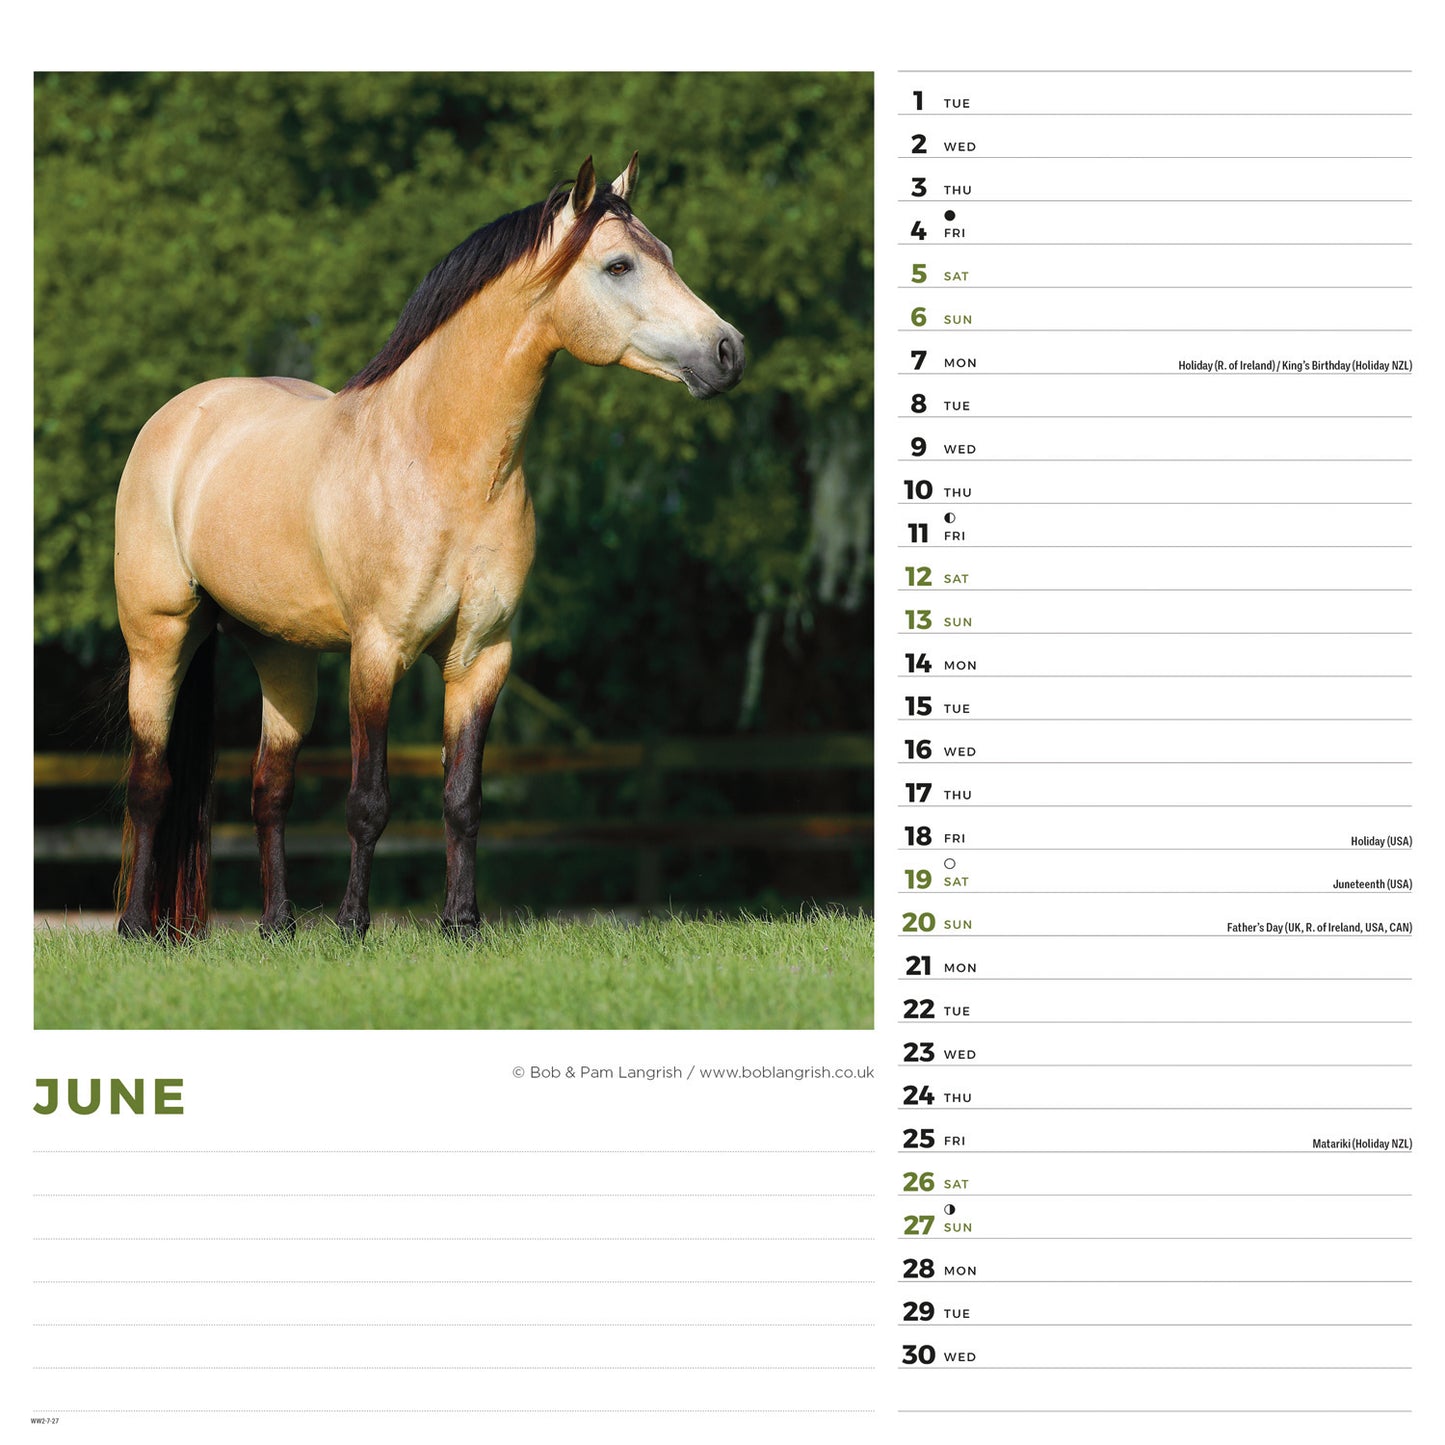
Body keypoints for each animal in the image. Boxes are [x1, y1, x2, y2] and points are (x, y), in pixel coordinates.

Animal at [113, 154, 745, 941]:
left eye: (667, 255)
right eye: (619, 265)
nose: (728, 351)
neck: (440, 462)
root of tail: (179, 418)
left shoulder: (480, 657)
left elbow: (461, 797)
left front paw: (462, 923)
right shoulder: (378, 652)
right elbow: (368, 800)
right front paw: (353, 926)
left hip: (283, 656)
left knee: (270, 789)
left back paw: (278, 926)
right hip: (159, 640)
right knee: (151, 783)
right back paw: (136, 927)